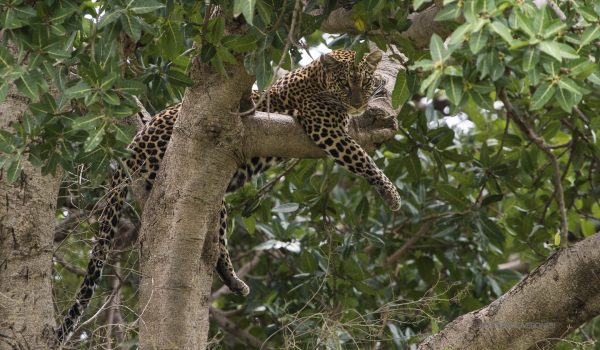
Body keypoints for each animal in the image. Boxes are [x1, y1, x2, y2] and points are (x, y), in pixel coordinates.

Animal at [56, 49, 400, 342]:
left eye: (363, 82)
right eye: (344, 83)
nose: (358, 103)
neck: (316, 77)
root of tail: (133, 145)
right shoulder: (323, 128)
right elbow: (362, 158)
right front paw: (391, 193)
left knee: (218, 239)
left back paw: (234, 281)